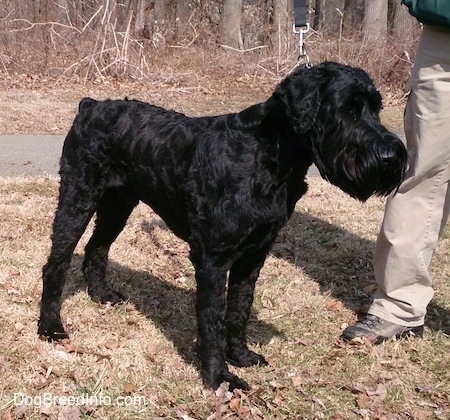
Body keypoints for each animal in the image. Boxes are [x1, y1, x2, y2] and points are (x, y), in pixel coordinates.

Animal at [38, 62, 408, 390]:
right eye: (347, 109)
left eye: (376, 108)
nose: (391, 156)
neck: (268, 154)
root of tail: (90, 107)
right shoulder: (212, 259)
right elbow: (212, 317)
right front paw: (218, 377)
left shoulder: (254, 254)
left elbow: (239, 308)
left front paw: (241, 356)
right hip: (78, 198)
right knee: (57, 262)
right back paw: (50, 326)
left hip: (118, 204)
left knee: (96, 247)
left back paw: (101, 295)